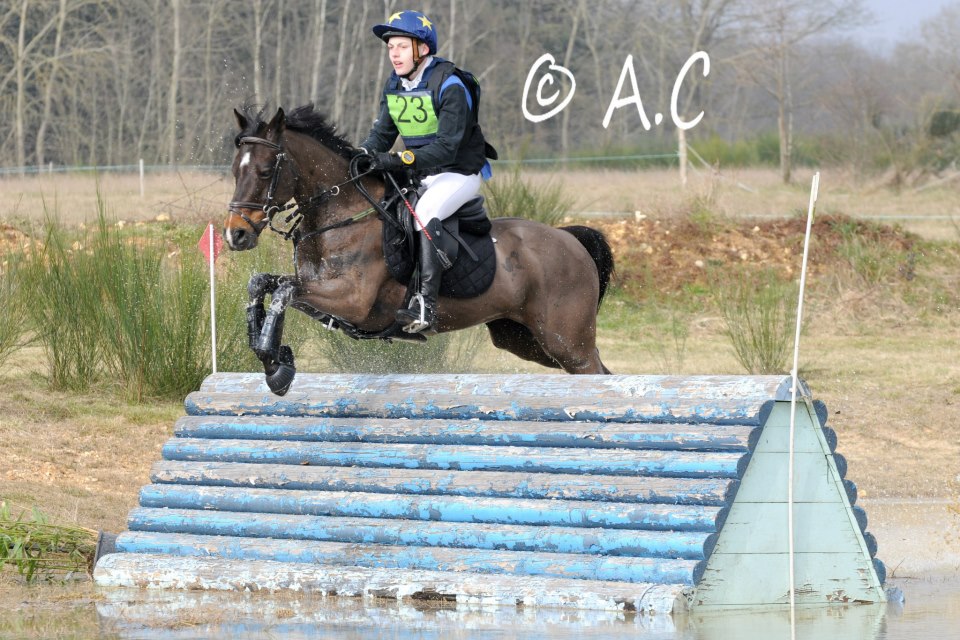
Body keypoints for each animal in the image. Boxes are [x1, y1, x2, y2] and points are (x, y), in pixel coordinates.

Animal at [225, 104, 616, 396]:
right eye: (233, 170)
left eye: (264, 172)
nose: (236, 235)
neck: (343, 211)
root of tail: (569, 239)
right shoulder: (321, 296)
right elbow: (263, 283)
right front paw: (272, 356)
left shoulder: (352, 299)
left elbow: (283, 290)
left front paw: (276, 368)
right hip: (525, 339)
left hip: (566, 342)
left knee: (594, 370)